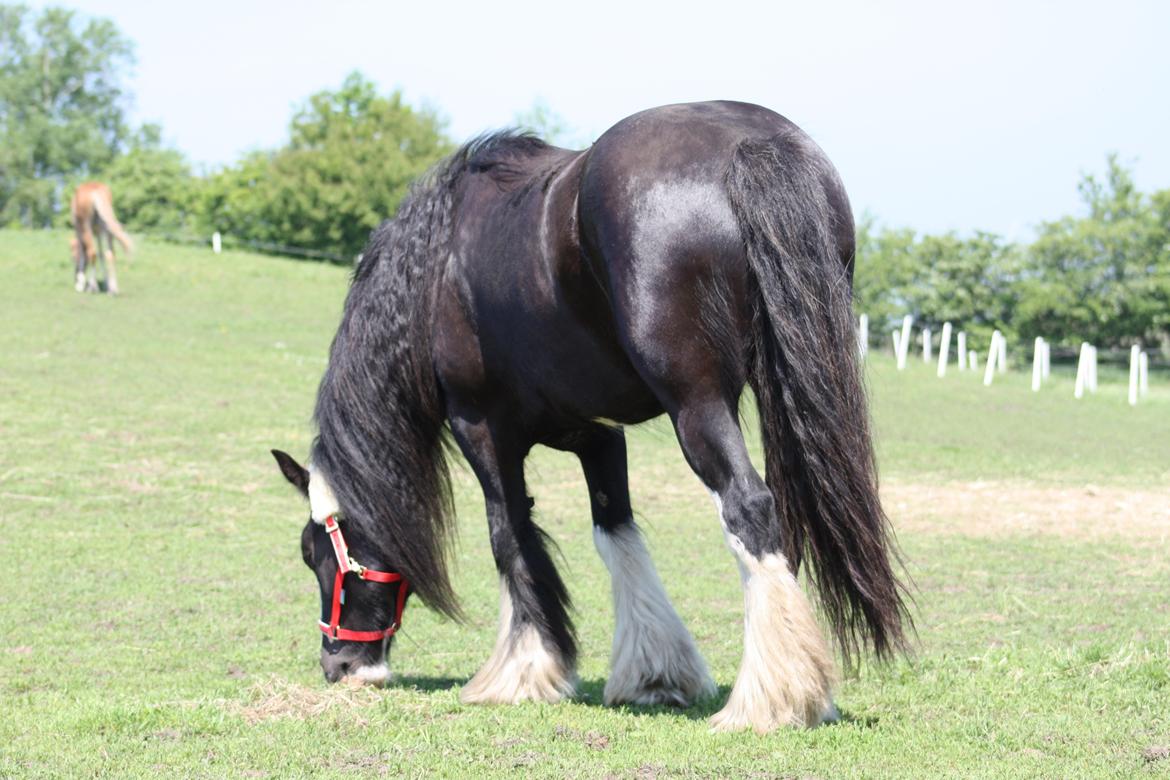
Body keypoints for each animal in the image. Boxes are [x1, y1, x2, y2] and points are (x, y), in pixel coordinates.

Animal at [276, 102, 912, 734]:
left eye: (314, 554)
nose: (339, 664)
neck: (437, 269)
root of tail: (749, 146)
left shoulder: (482, 429)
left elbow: (508, 537)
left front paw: (522, 672)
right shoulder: (595, 436)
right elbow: (615, 531)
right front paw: (655, 674)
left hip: (697, 405)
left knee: (749, 507)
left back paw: (772, 701)